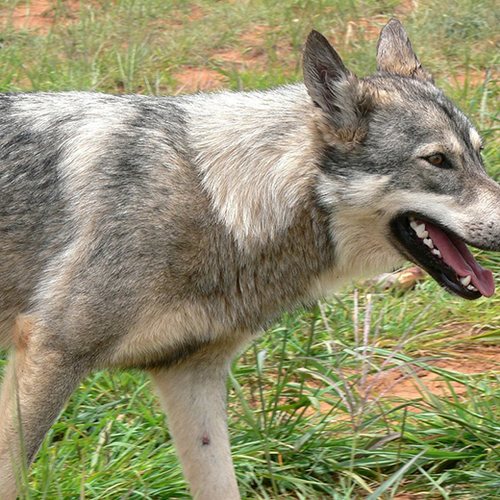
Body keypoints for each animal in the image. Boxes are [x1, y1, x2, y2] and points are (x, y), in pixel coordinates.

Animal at [0, 17, 500, 498]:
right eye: (438, 160)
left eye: (478, 154)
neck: (219, 202)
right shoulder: (53, 354)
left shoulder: (190, 375)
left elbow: (222, 487)